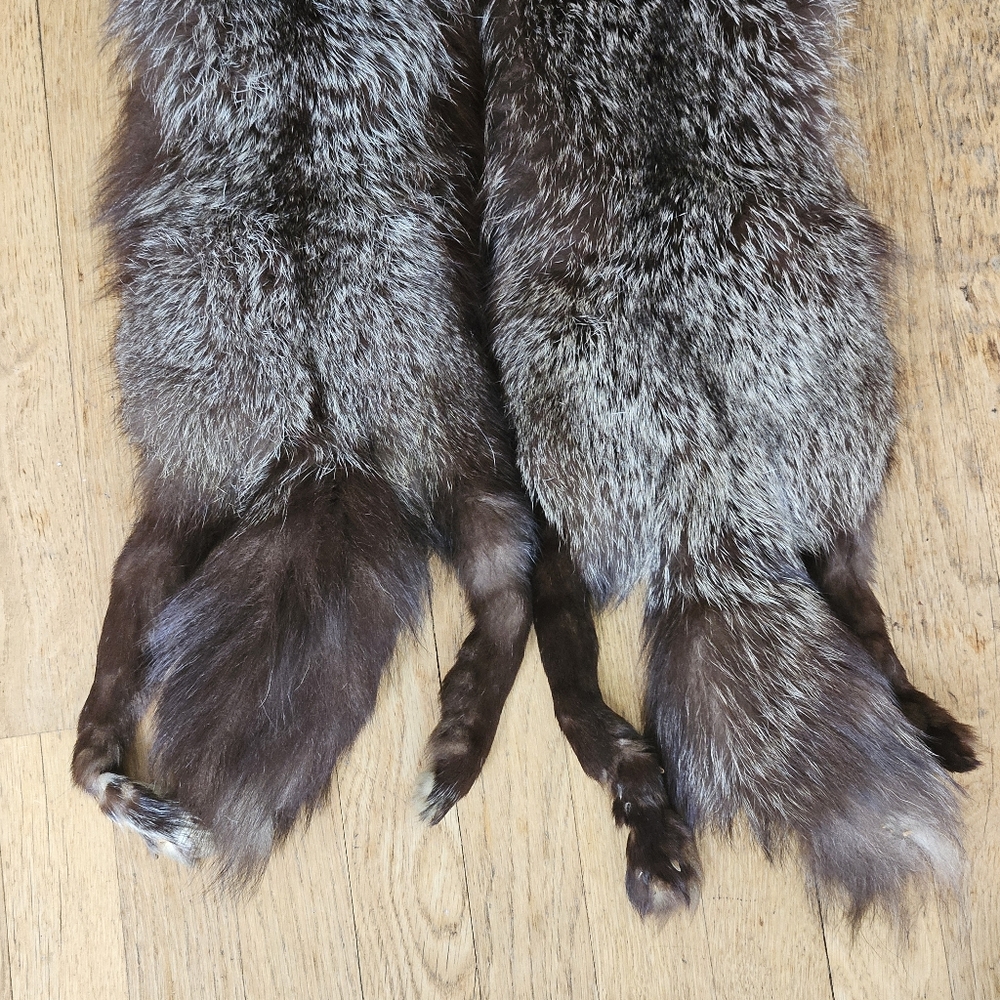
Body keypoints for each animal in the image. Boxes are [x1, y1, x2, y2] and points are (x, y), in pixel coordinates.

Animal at [73, 0, 534, 880]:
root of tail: (319, 429)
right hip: (452, 417)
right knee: (504, 563)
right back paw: (464, 732)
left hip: (187, 462)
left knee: (137, 575)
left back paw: (108, 777)